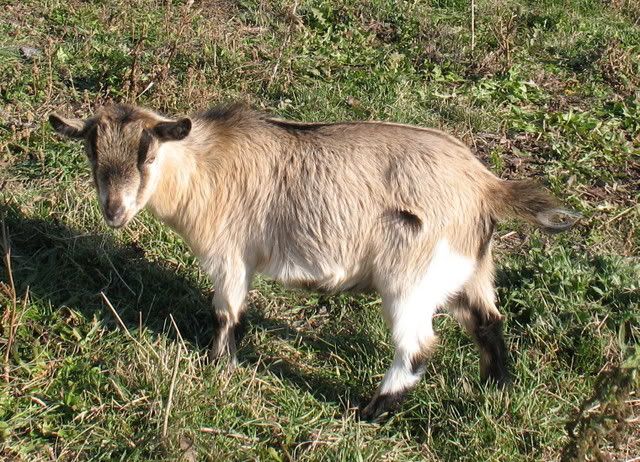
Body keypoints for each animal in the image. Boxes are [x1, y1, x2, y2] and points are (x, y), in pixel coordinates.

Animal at [49, 103, 579, 421]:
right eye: (91, 153)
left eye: (148, 155)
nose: (114, 211)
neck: (204, 167)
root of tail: (486, 185)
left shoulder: (230, 255)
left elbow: (227, 313)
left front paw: (219, 366)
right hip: (470, 270)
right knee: (488, 320)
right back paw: (495, 387)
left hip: (411, 278)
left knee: (418, 347)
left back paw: (373, 410)